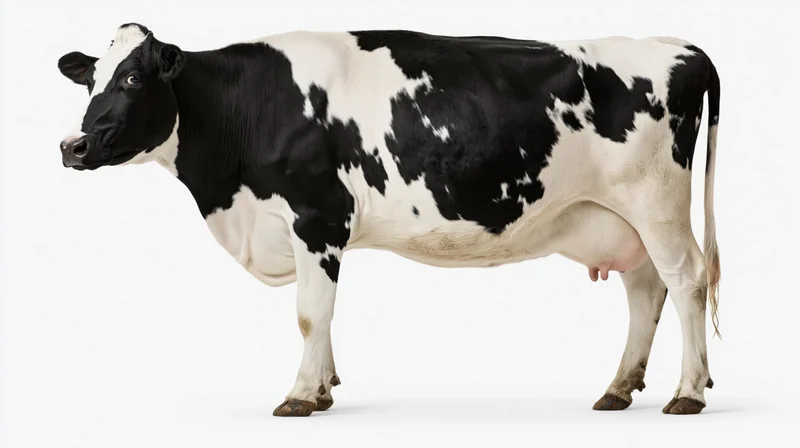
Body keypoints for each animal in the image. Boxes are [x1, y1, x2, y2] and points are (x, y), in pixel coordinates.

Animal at [57, 23, 721, 417]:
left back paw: (688, 392)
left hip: (657, 202)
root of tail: (679, 46)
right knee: (645, 289)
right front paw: (325, 388)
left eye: (133, 77)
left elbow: (310, 313)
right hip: (621, 217)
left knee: (688, 280)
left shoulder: (318, 218)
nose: (73, 147)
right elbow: (320, 316)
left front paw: (300, 395)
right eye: (90, 80)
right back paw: (618, 388)